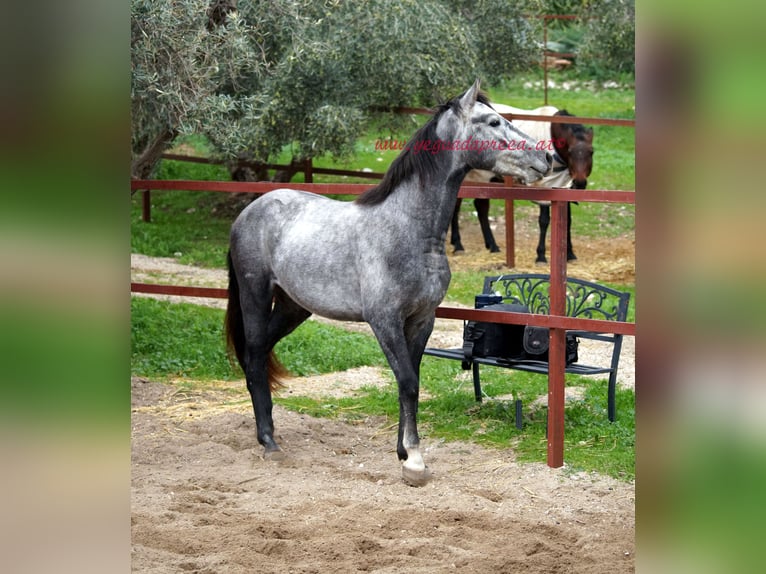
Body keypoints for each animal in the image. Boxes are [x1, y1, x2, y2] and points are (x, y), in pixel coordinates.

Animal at [224, 80, 552, 486]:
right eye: (493, 122)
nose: (547, 159)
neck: (408, 230)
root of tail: (249, 212)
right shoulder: (384, 320)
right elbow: (408, 381)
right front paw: (414, 461)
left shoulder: (422, 320)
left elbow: (409, 382)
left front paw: (402, 451)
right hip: (255, 293)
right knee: (254, 354)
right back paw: (269, 441)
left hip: (293, 306)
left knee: (261, 352)